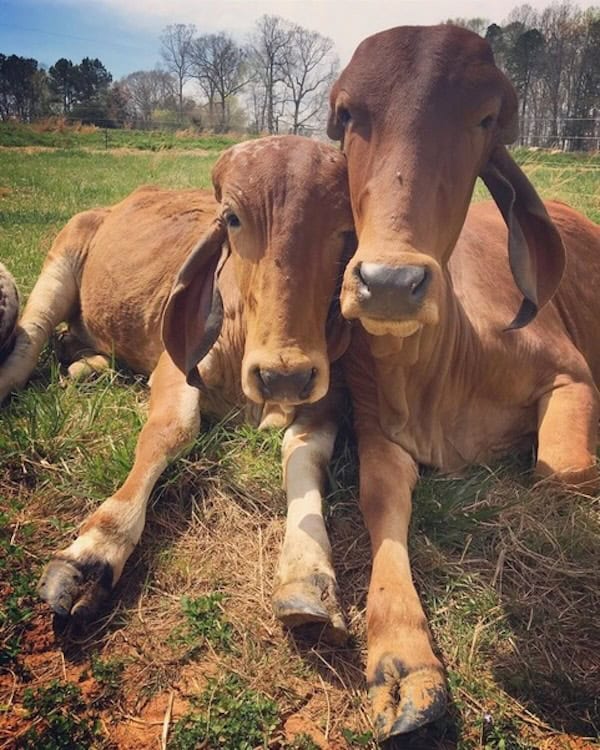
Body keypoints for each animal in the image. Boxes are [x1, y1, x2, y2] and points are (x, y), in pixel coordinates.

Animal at [2, 135, 354, 640]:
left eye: (346, 230)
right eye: (233, 218)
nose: (283, 374)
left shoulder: (328, 393)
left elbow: (305, 457)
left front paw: (307, 574)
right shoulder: (176, 366)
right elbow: (172, 429)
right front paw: (96, 549)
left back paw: (88, 366)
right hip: (61, 262)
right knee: (27, 346)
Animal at [326, 26, 600, 744]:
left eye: (484, 120)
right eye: (347, 114)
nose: (390, 283)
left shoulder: (572, 376)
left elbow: (562, 472)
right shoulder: (379, 434)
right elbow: (380, 501)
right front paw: (402, 661)